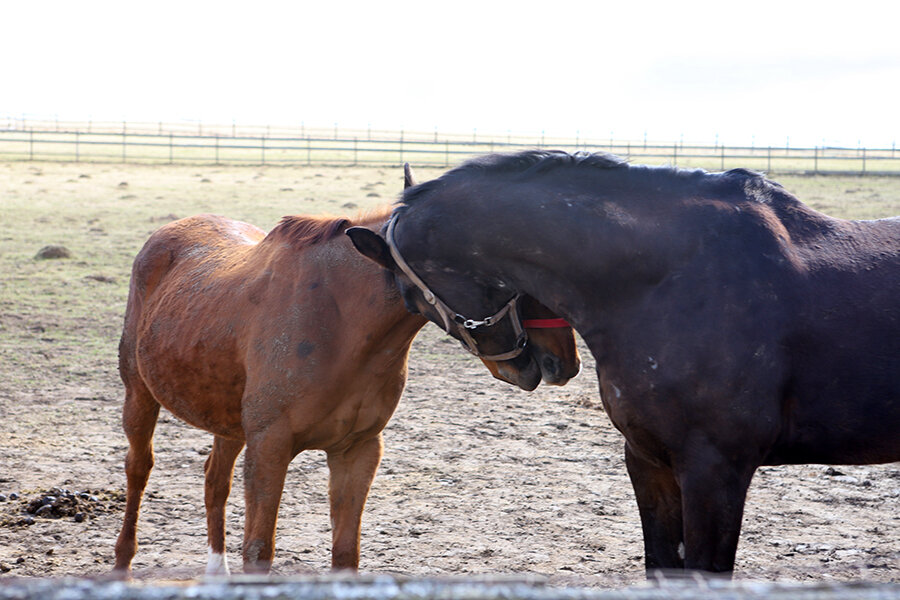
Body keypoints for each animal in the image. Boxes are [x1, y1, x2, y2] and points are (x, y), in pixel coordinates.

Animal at [112, 183, 580, 576]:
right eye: (499, 275)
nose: (562, 361)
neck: (338, 324)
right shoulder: (269, 449)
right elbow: (259, 551)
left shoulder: (356, 451)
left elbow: (345, 554)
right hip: (140, 397)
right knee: (138, 469)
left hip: (228, 423)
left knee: (214, 482)